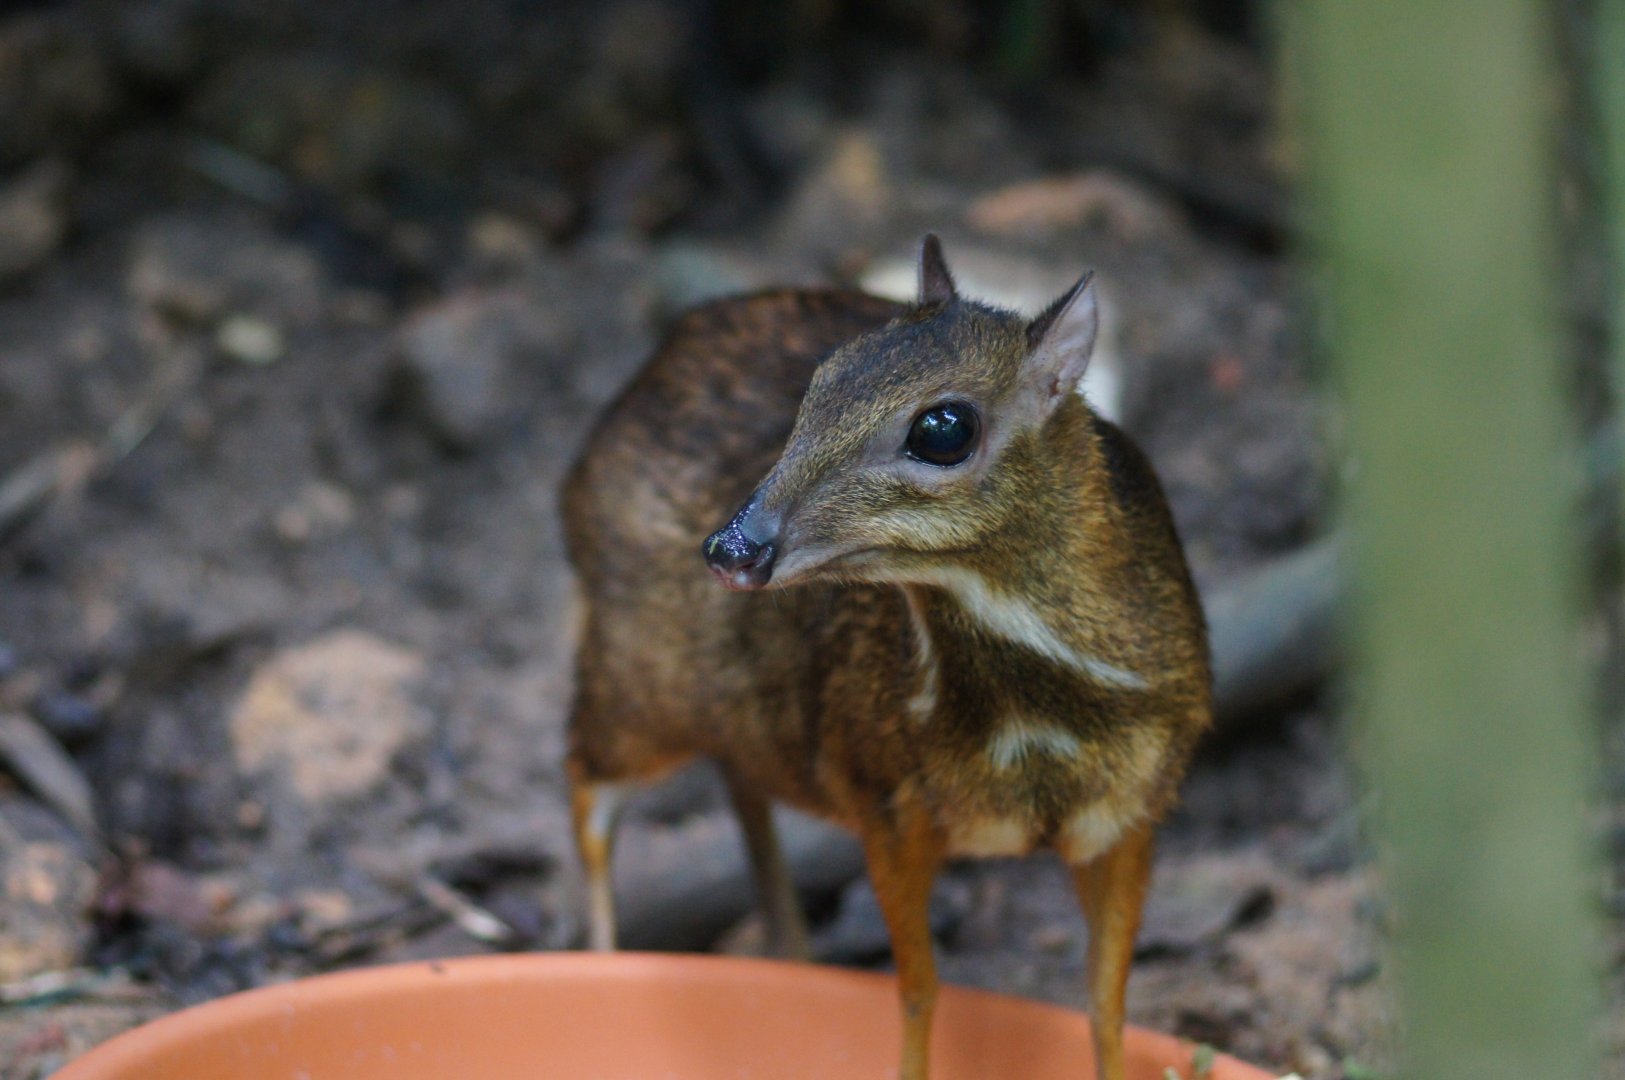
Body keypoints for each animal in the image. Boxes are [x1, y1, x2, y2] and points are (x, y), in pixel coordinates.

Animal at [561, 235, 1211, 1080]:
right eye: (819, 383)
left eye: (943, 428)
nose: (734, 547)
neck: (1030, 716)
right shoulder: (884, 801)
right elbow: (917, 994)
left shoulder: (1131, 813)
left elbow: (1105, 1007)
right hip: (633, 675)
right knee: (585, 788)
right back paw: (605, 968)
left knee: (736, 787)